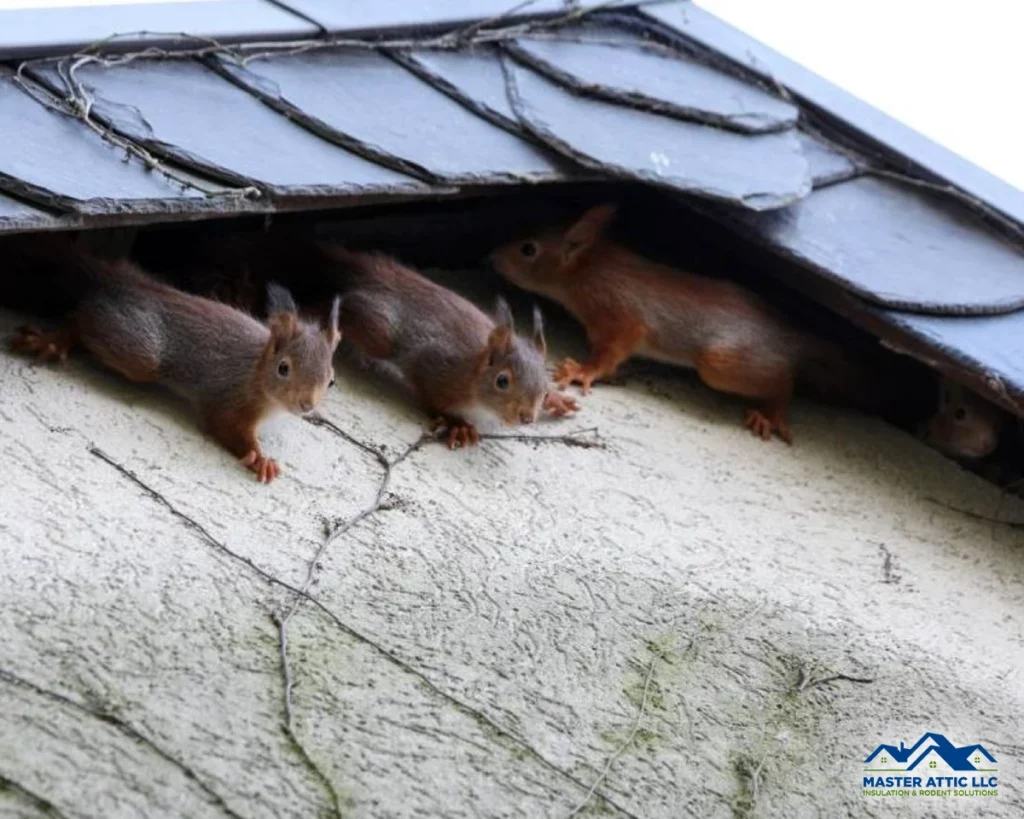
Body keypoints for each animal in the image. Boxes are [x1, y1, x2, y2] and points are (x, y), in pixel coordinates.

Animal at [5, 235, 341, 483]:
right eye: (283, 368)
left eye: (331, 381)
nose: (307, 405)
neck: (257, 373)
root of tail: (121, 281)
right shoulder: (229, 398)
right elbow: (225, 426)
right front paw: (260, 458)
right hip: (139, 352)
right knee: (81, 314)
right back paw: (55, 339)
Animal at [491, 203, 883, 444]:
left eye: (528, 249)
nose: (490, 257)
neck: (587, 269)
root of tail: (791, 335)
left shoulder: (620, 313)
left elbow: (612, 352)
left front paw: (580, 371)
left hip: (721, 363)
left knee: (783, 381)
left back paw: (771, 413)